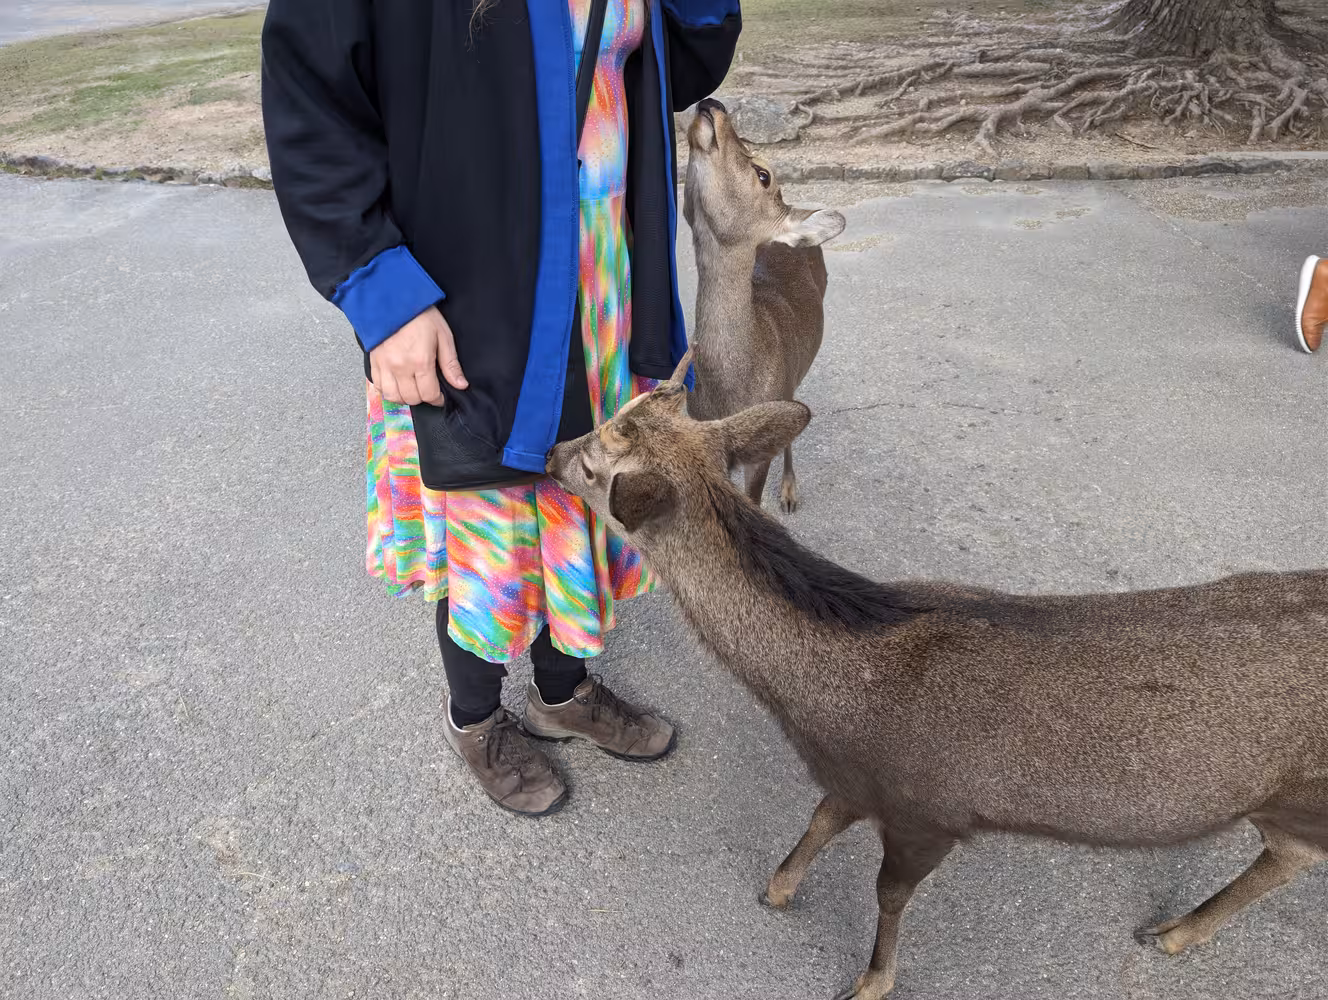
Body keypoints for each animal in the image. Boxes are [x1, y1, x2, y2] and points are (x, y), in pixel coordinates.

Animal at [546, 356, 1328, 1000]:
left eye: (596, 463)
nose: (550, 452)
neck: (824, 703)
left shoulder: (930, 811)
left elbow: (889, 896)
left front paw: (870, 982)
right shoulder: (858, 780)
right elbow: (821, 818)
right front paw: (778, 888)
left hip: (1305, 795)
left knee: (1293, 855)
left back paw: (1174, 932)